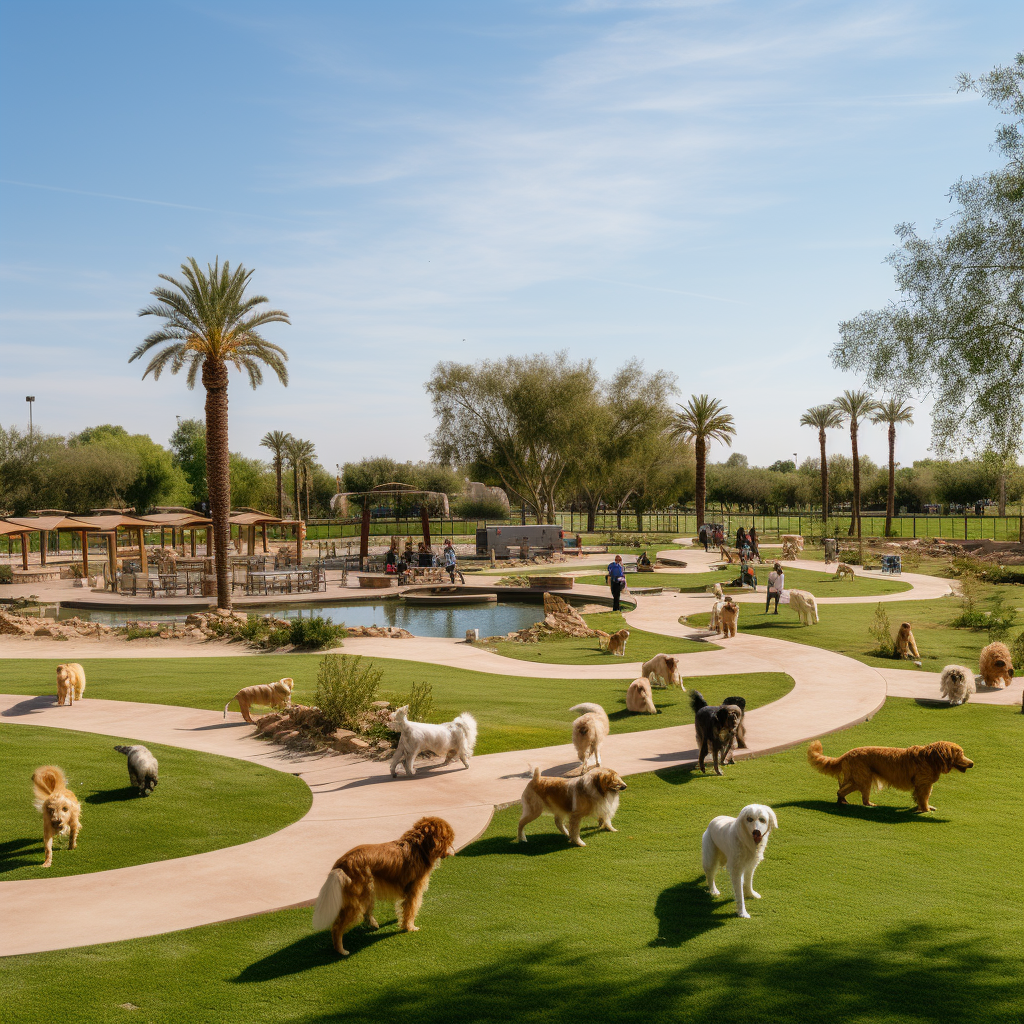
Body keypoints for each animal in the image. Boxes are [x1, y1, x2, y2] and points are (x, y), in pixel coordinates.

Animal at [311, 811, 456, 954]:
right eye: (448, 839)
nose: (452, 850)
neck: (419, 847)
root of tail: (341, 865)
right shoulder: (413, 891)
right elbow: (411, 910)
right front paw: (409, 927)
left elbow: (405, 909)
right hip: (357, 898)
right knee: (337, 927)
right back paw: (341, 949)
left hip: (367, 889)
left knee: (365, 912)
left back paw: (372, 924)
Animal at [806, 741, 974, 811]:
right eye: (961, 754)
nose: (972, 763)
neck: (930, 757)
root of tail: (846, 754)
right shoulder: (924, 784)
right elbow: (924, 799)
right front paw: (925, 810)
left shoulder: (920, 785)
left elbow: (920, 799)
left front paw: (922, 807)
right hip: (863, 778)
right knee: (858, 796)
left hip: (860, 778)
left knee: (842, 790)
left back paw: (843, 801)